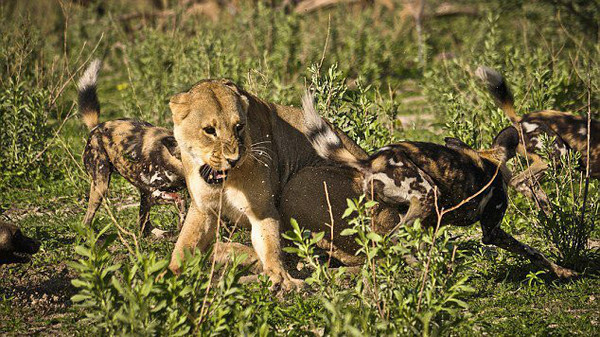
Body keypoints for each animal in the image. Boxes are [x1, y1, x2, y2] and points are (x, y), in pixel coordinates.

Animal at [78, 61, 185, 239]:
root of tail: (96, 127)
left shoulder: (151, 194)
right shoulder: (153, 193)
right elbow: (179, 201)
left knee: (145, 225)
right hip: (100, 186)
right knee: (87, 220)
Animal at [304, 92, 576, 278]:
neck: (491, 161)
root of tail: (371, 161)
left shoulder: (429, 223)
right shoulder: (492, 232)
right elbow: (533, 251)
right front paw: (562, 271)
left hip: (410, 210)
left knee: (391, 243)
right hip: (427, 195)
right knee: (394, 239)